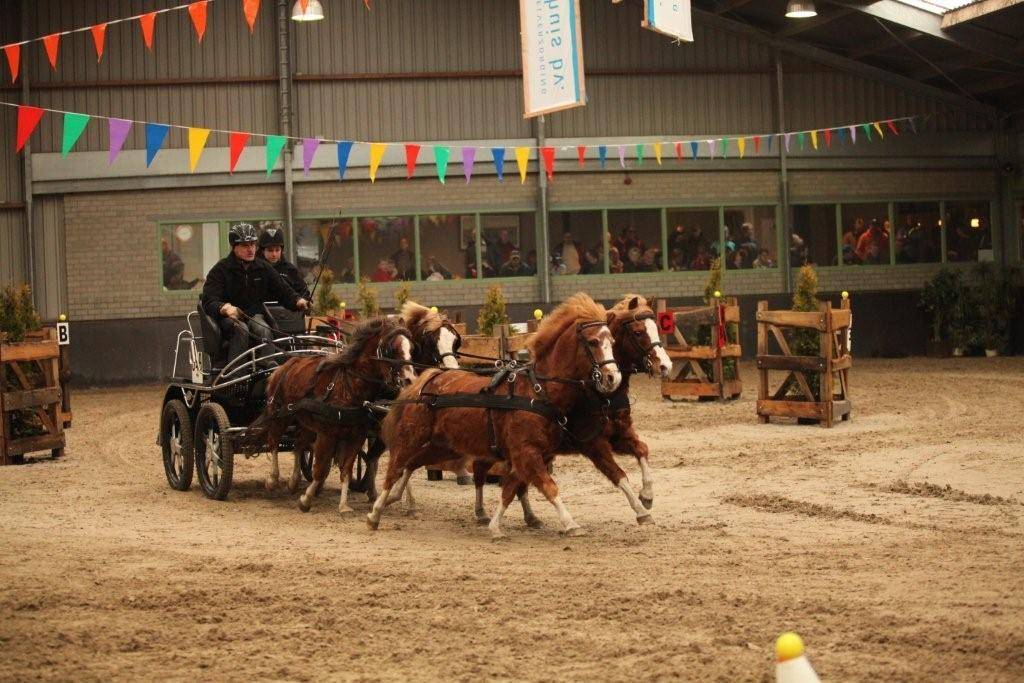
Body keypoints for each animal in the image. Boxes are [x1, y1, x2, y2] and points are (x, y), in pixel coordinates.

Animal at [260, 317, 415, 516]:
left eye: (411, 348)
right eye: (392, 349)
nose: (409, 380)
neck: (348, 386)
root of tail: (285, 365)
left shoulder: (357, 436)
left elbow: (346, 469)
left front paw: (343, 505)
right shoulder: (327, 434)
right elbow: (320, 469)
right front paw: (306, 499)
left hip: (306, 423)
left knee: (299, 445)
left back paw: (294, 481)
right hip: (280, 414)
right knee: (273, 441)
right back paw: (273, 479)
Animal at [370, 294, 618, 540]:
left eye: (612, 342)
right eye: (593, 342)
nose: (613, 377)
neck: (538, 390)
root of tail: (429, 379)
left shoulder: (529, 454)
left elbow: (514, 488)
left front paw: (514, 521)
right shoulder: (526, 452)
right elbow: (548, 487)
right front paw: (570, 524)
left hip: (441, 446)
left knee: (412, 464)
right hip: (413, 438)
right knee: (395, 468)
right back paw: (376, 512)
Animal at [468, 294, 671, 528]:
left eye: (656, 328)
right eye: (638, 332)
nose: (666, 366)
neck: (600, 396)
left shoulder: (620, 433)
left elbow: (642, 450)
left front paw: (647, 496)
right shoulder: (593, 443)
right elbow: (618, 474)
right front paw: (641, 510)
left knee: (516, 479)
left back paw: (530, 516)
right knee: (482, 470)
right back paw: (481, 511)